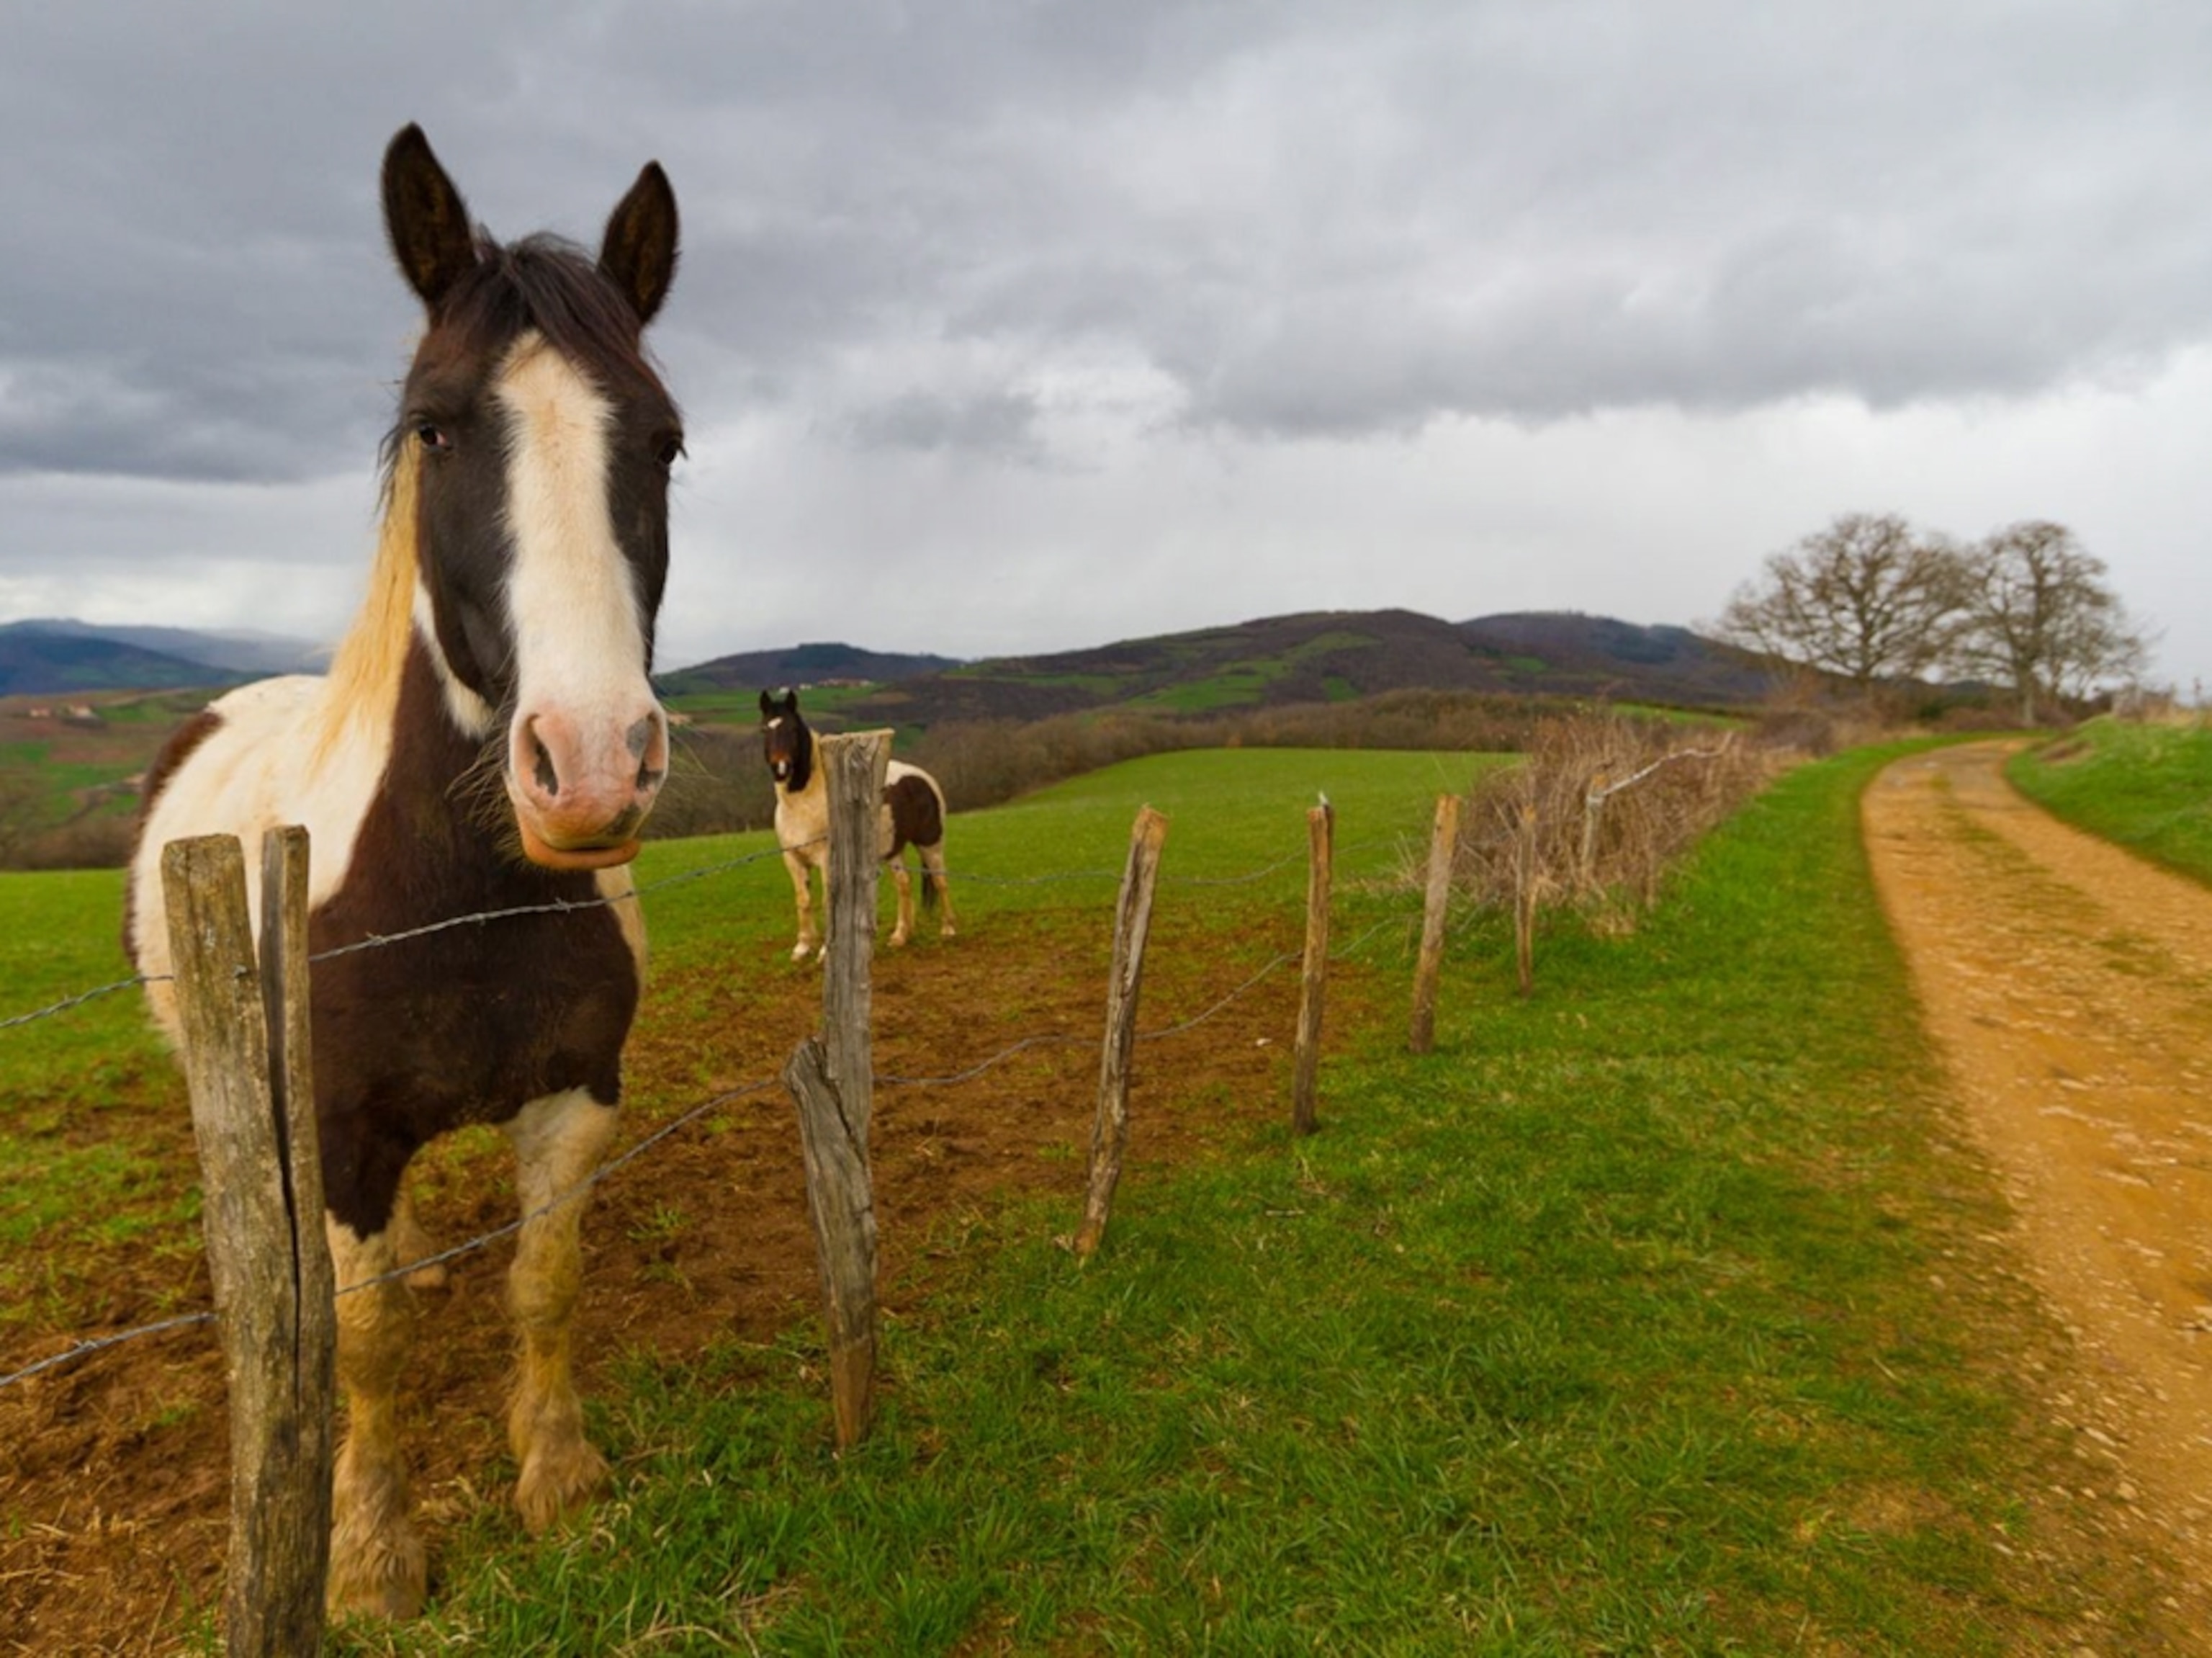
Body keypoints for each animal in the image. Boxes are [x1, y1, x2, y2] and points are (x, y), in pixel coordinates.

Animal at [123, 125, 682, 1620]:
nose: (591, 766)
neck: (456, 894)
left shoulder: (576, 1092)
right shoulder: (339, 1136)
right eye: (436, 428)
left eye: (663, 440)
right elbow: (364, 1344)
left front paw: (559, 1478)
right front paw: (371, 1557)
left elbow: (544, 1282)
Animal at [758, 688, 957, 961]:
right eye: (764, 730)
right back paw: (900, 936)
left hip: (931, 844)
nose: (780, 768)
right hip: (894, 850)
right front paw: (802, 947)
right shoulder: (793, 859)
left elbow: (828, 902)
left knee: (941, 881)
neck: (805, 804)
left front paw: (825, 951)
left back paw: (948, 929)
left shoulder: (828, 860)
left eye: (792, 729)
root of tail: (923, 778)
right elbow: (803, 899)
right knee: (904, 885)